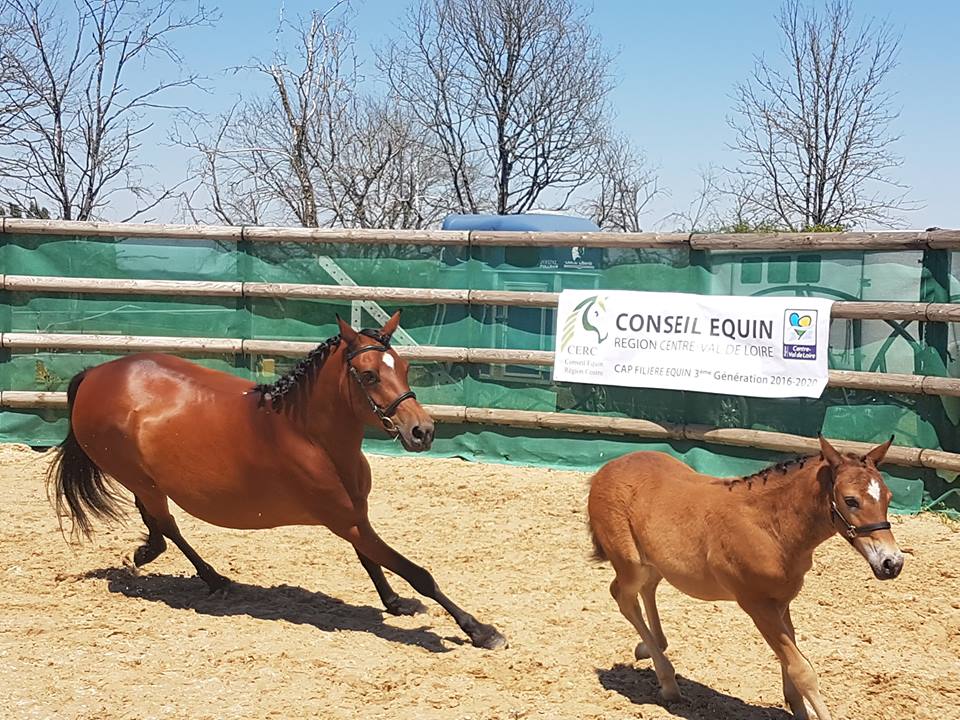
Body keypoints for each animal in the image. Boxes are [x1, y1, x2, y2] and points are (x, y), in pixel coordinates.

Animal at [584, 436, 908, 716]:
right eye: (851, 501)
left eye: (888, 497)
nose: (892, 563)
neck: (771, 527)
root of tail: (604, 470)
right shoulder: (756, 604)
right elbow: (802, 670)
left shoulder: (782, 601)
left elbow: (790, 663)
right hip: (630, 562)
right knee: (623, 595)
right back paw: (668, 681)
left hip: (652, 562)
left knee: (648, 588)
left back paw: (651, 652)